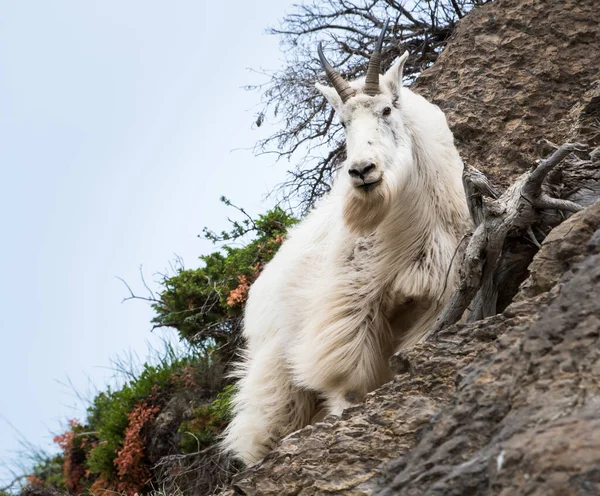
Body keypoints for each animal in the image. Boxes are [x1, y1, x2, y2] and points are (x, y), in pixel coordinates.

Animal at [223, 22, 472, 464]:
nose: (361, 171)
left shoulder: (436, 293)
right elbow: (347, 375)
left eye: (386, 110)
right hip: (273, 363)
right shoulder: (351, 300)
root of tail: (256, 289)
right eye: (342, 122)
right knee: (267, 420)